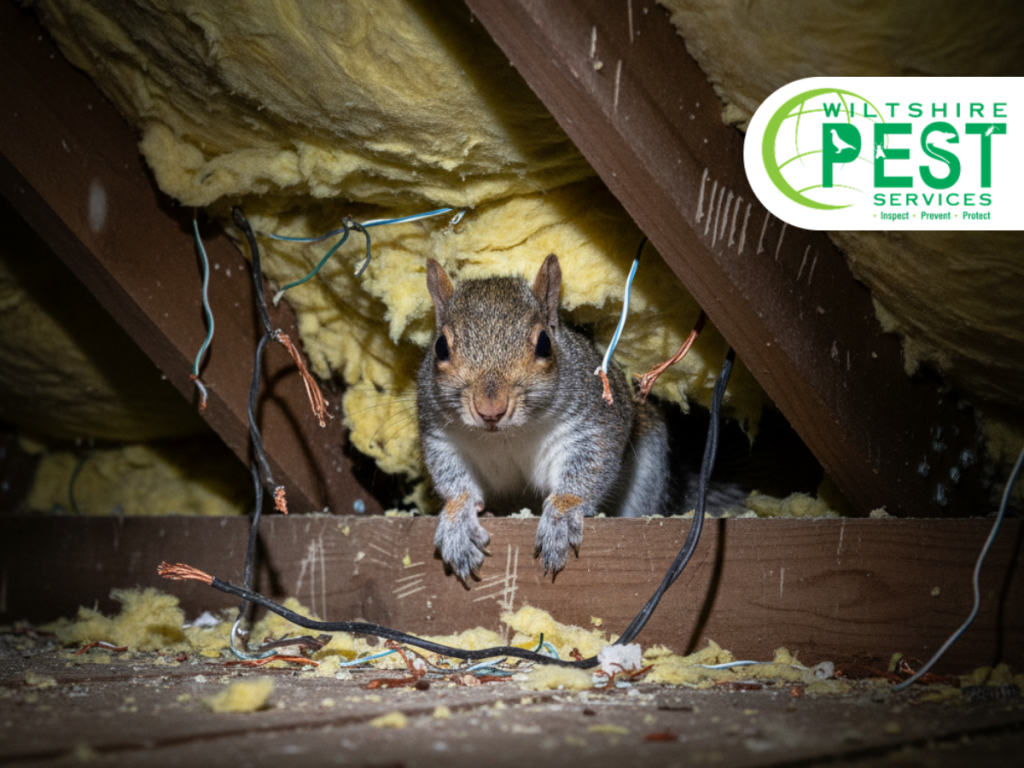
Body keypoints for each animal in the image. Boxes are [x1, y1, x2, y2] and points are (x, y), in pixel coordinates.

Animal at [417, 254, 671, 583]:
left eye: (544, 344)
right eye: (440, 347)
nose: (490, 410)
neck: (507, 435)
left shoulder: (594, 423)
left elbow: (588, 468)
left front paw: (561, 517)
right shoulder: (441, 437)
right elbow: (453, 480)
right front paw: (458, 521)